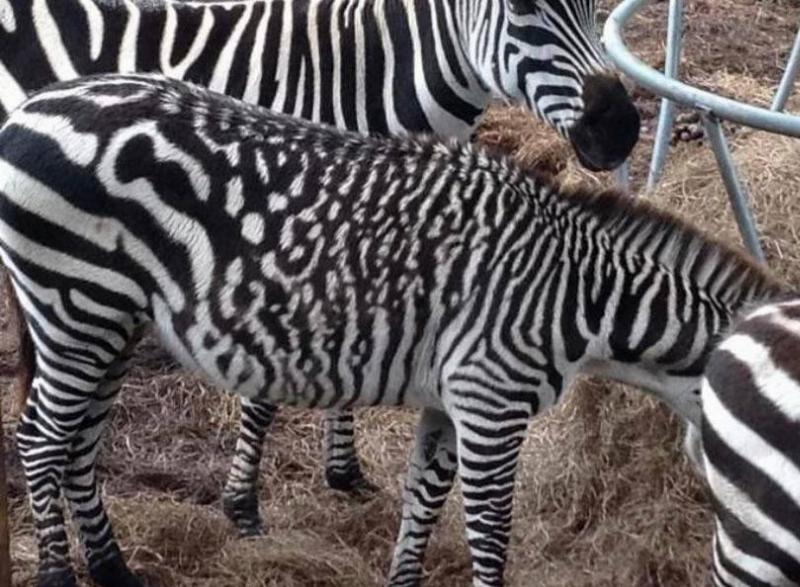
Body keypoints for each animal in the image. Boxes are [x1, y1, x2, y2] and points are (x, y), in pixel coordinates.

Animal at [0, 73, 700, 587]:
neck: (581, 294)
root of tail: (30, 107)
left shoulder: (452, 400)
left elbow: (425, 498)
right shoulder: (492, 399)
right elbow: (490, 530)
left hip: (111, 318)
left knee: (79, 443)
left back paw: (114, 571)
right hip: (75, 303)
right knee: (40, 440)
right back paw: (59, 575)